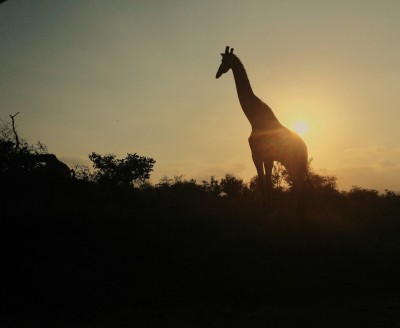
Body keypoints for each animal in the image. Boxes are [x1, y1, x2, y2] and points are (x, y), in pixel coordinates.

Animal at [216, 46, 306, 210]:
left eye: (225, 60)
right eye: (221, 60)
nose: (217, 74)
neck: (255, 120)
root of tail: (306, 148)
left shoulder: (257, 155)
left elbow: (263, 184)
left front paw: (266, 209)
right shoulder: (267, 157)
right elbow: (267, 184)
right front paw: (269, 208)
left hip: (294, 162)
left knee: (300, 188)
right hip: (293, 163)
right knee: (300, 188)